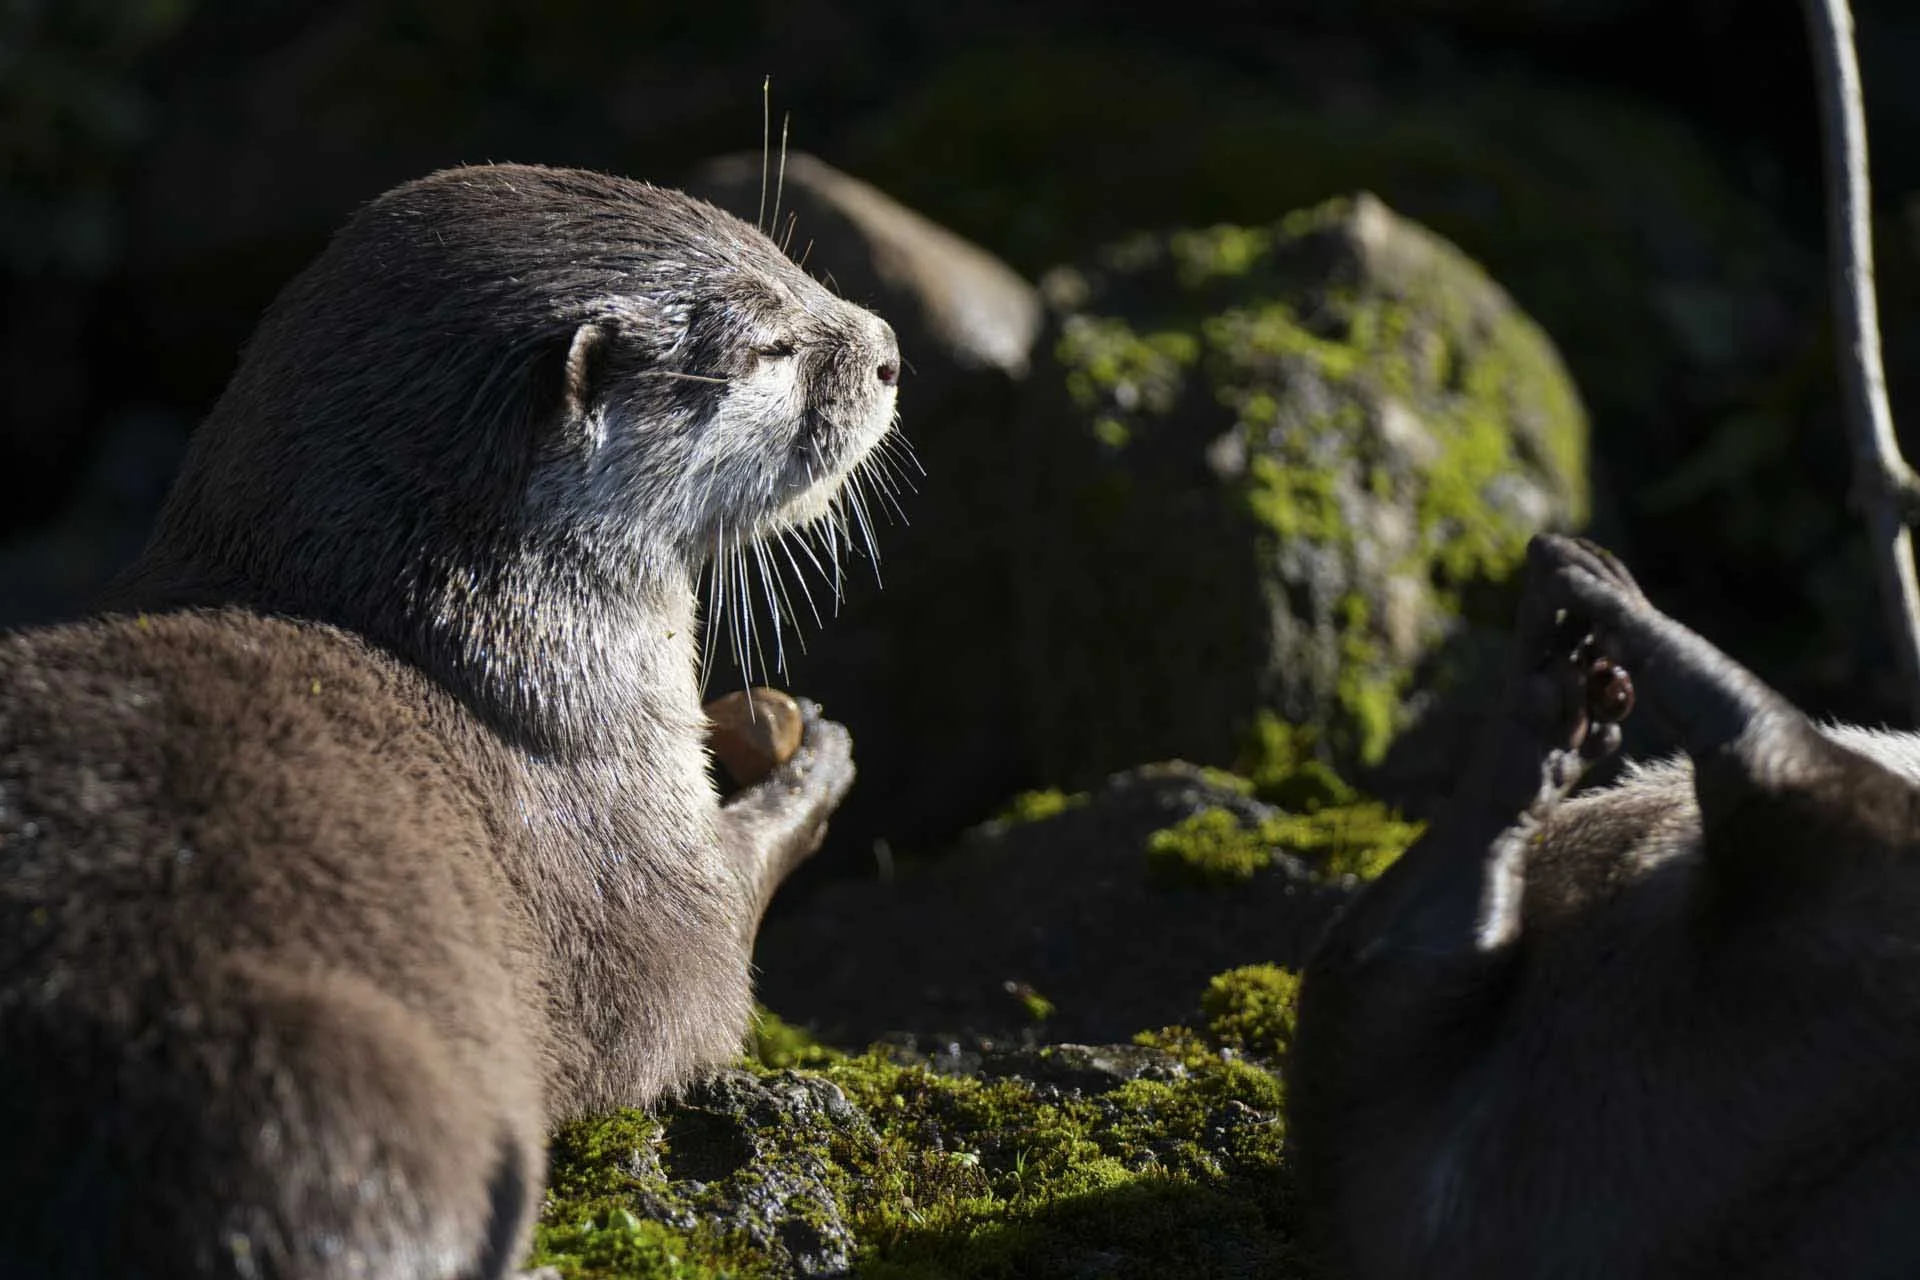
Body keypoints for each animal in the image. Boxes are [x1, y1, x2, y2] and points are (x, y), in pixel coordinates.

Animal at [0, 164, 900, 1278]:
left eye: (787, 257)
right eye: (772, 346)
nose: (890, 350)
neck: (494, 647)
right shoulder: (622, 859)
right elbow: (705, 980)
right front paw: (812, 757)